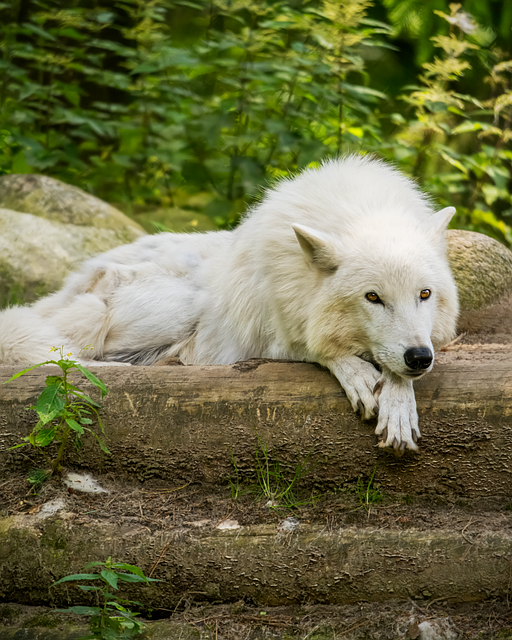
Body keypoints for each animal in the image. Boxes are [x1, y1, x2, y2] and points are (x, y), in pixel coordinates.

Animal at [0, 155, 458, 451]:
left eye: (424, 294)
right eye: (372, 297)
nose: (419, 357)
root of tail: (73, 280)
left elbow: (396, 375)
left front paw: (398, 408)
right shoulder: (273, 337)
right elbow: (320, 348)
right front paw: (360, 375)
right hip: (177, 307)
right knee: (64, 356)